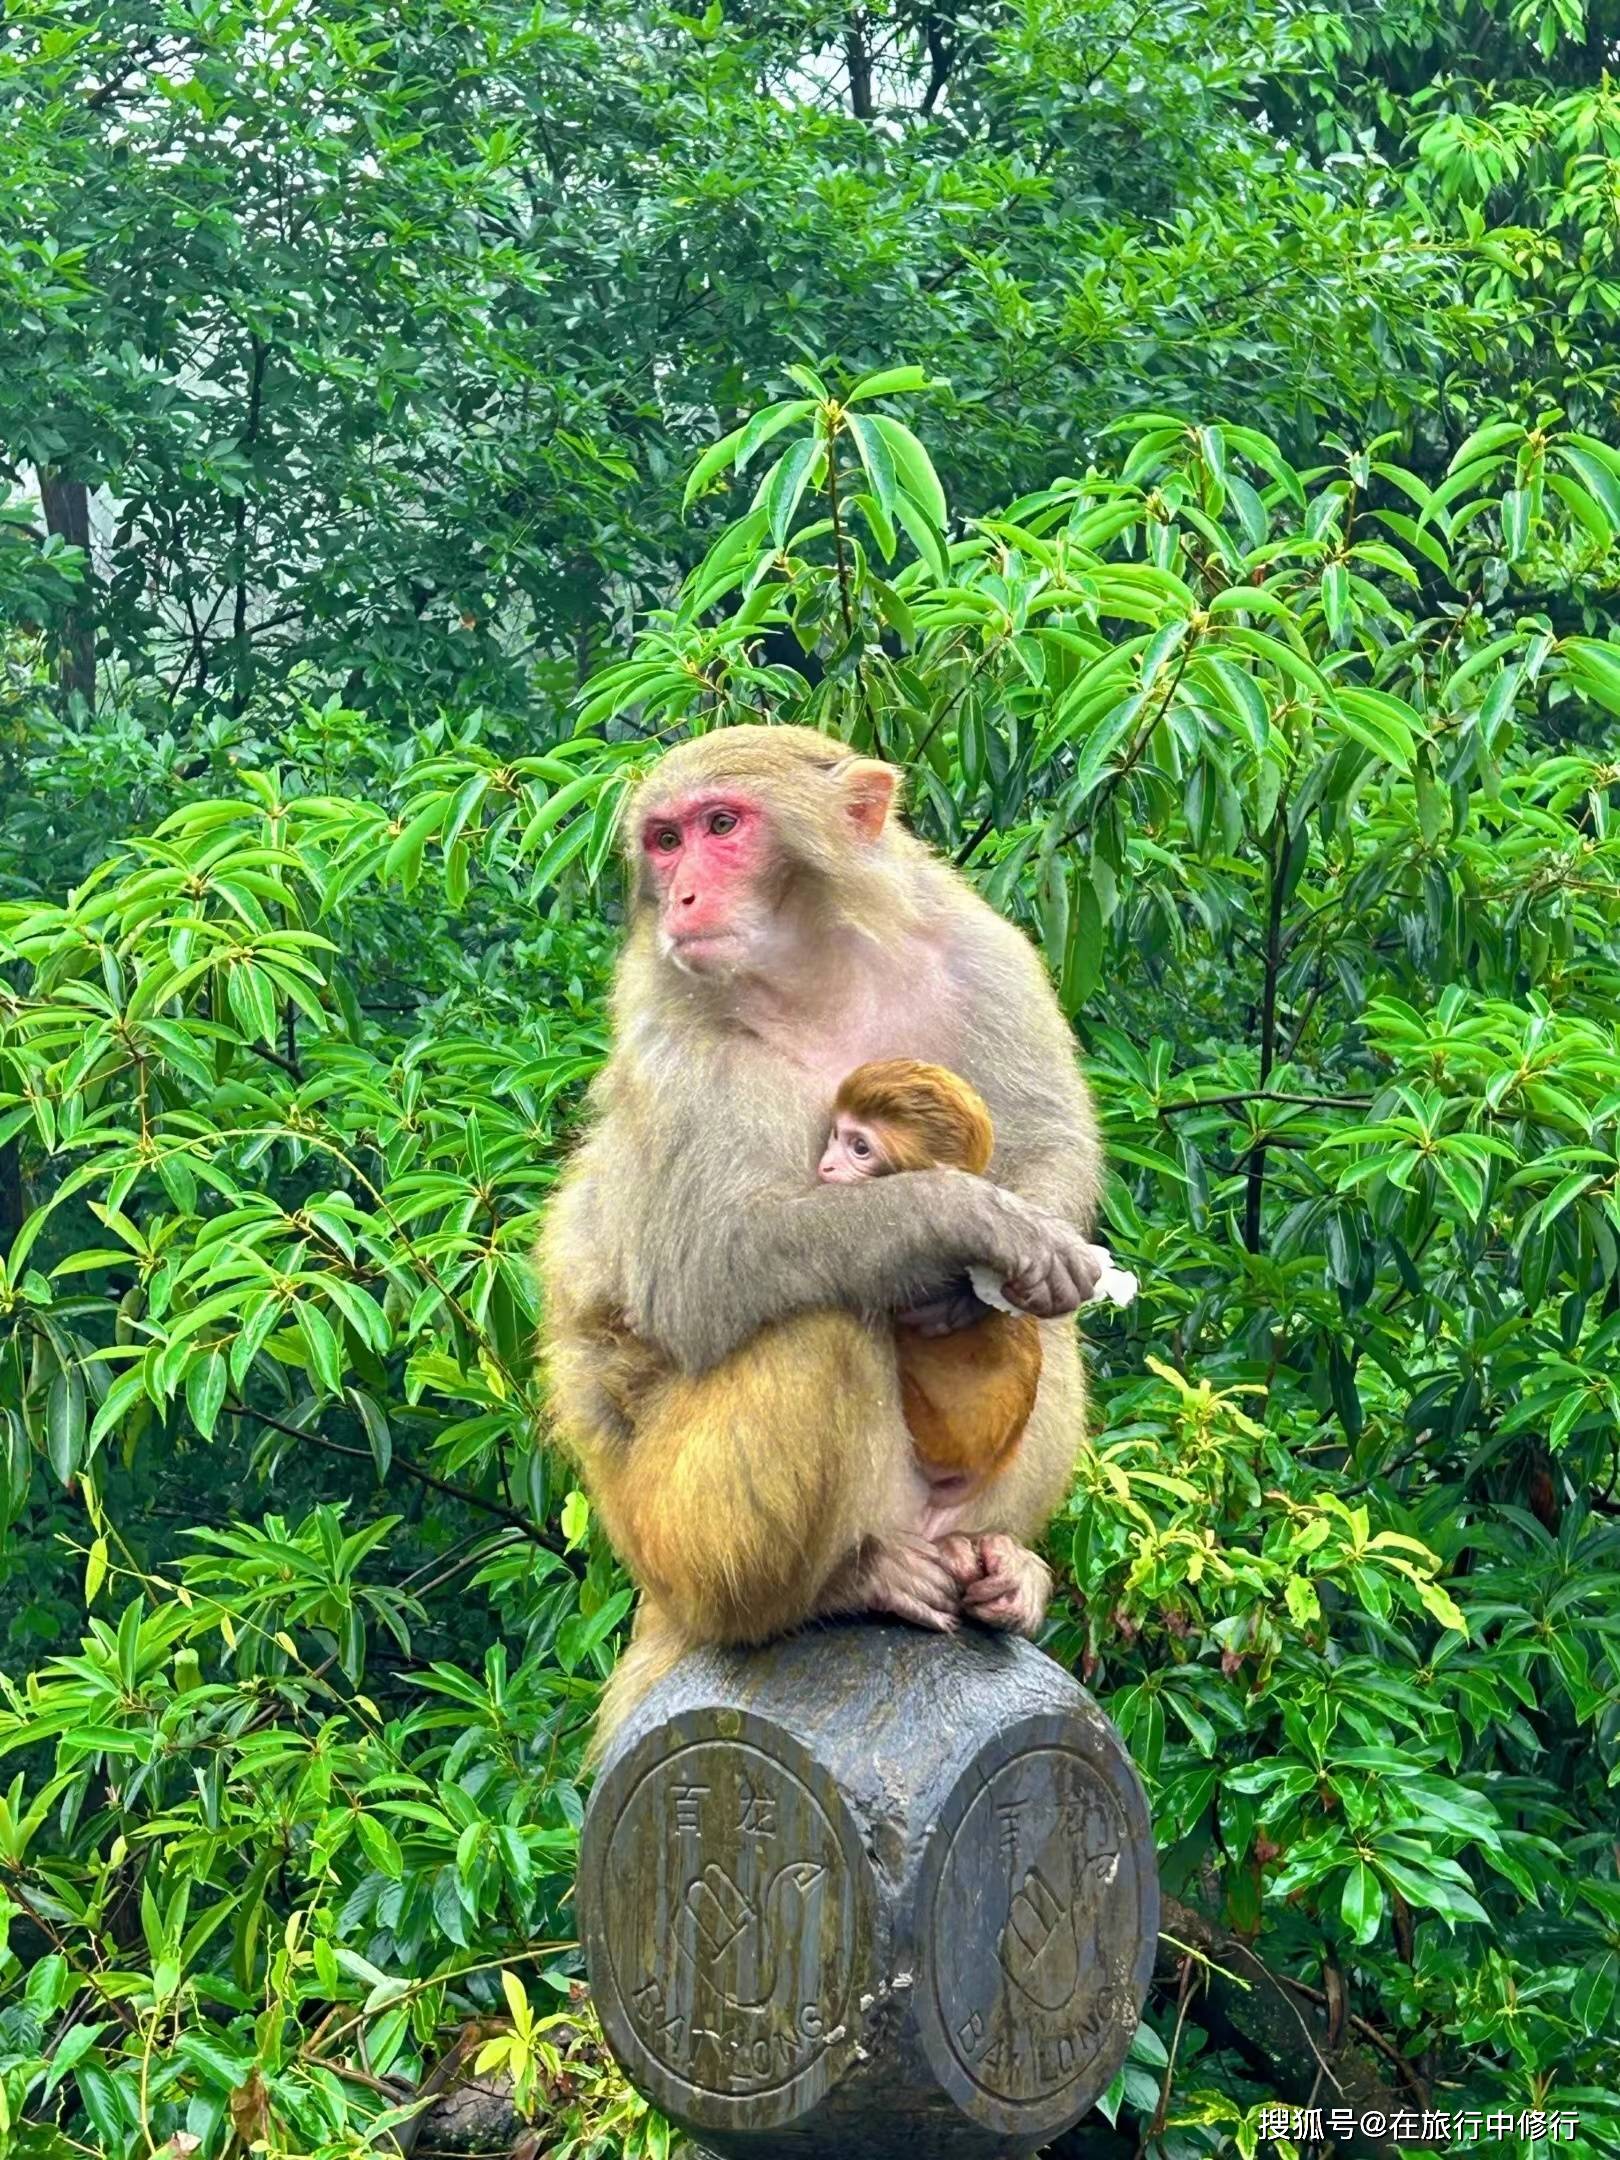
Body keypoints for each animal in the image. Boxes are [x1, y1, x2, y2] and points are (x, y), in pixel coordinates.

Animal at [540, 725, 1114, 1736]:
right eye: (664, 840)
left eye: (721, 826)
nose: (682, 896)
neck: (819, 973)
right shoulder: (673, 1036)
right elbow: (707, 1271)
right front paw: (964, 1224)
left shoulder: (985, 950)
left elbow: (1051, 1148)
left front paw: (1005, 1270)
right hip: (679, 1536)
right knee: (818, 1320)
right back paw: (834, 1589)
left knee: (1047, 1325)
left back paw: (1005, 1564)